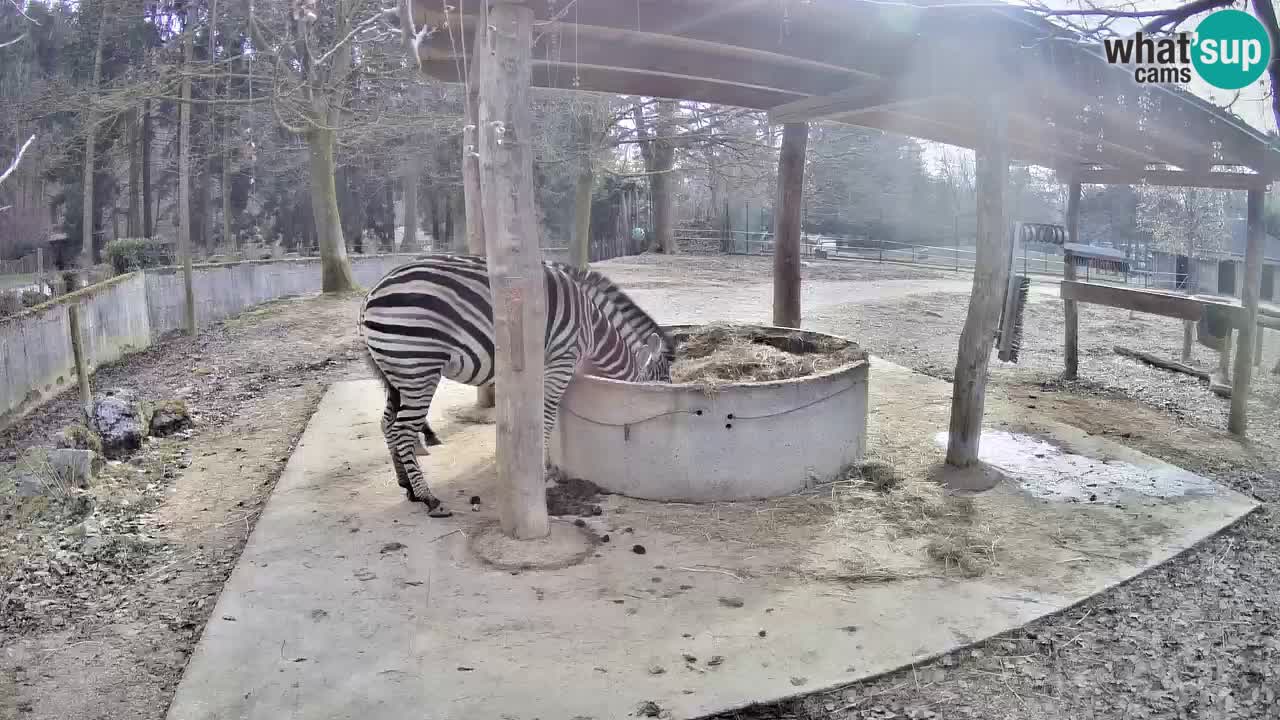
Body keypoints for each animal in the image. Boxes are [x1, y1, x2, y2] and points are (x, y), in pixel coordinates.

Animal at [360, 254, 675, 512]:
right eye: (655, 388)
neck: (592, 328)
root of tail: (370, 295)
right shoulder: (560, 361)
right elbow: (547, 417)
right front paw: (543, 468)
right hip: (418, 368)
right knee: (401, 429)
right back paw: (428, 498)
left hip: (397, 373)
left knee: (387, 423)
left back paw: (408, 488)